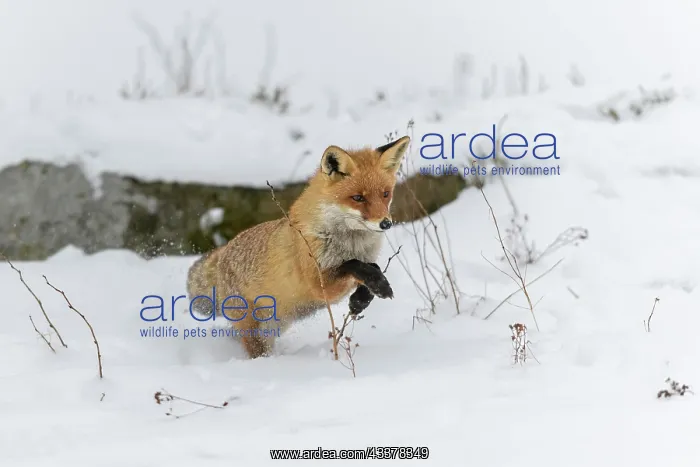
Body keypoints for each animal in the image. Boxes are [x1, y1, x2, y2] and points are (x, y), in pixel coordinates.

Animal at [186, 136, 410, 359]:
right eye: (358, 198)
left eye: (385, 194)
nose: (385, 223)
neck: (350, 244)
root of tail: (224, 251)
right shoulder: (320, 284)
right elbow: (352, 265)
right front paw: (376, 285)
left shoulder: (361, 262)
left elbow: (371, 268)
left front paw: (361, 300)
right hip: (255, 331)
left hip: (274, 326)